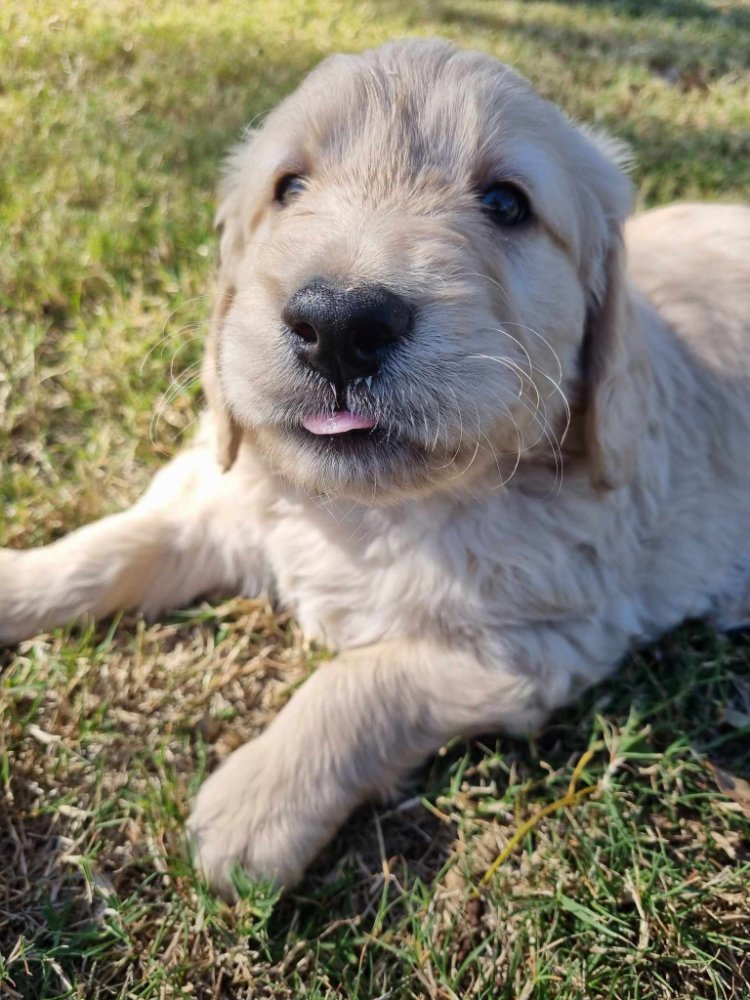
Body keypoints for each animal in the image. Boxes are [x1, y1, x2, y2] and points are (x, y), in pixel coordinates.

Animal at [2, 39, 749, 898]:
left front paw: (256, 806)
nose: (338, 325)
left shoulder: (540, 641)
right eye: (289, 188)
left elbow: (361, 684)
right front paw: (18, 580)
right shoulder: (227, 496)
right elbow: (116, 544)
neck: (370, 509)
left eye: (505, 204)